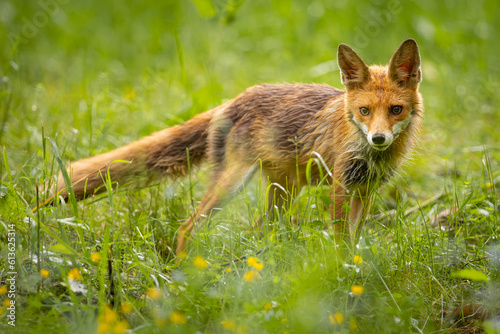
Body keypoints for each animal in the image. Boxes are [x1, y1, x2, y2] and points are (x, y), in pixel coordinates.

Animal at [53, 39, 422, 258]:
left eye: (395, 110)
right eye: (364, 111)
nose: (378, 139)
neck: (371, 156)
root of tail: (233, 100)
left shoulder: (368, 189)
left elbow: (355, 237)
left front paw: (355, 269)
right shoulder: (342, 186)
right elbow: (341, 239)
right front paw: (342, 272)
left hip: (283, 194)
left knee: (257, 230)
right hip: (232, 183)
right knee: (187, 228)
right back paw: (184, 277)